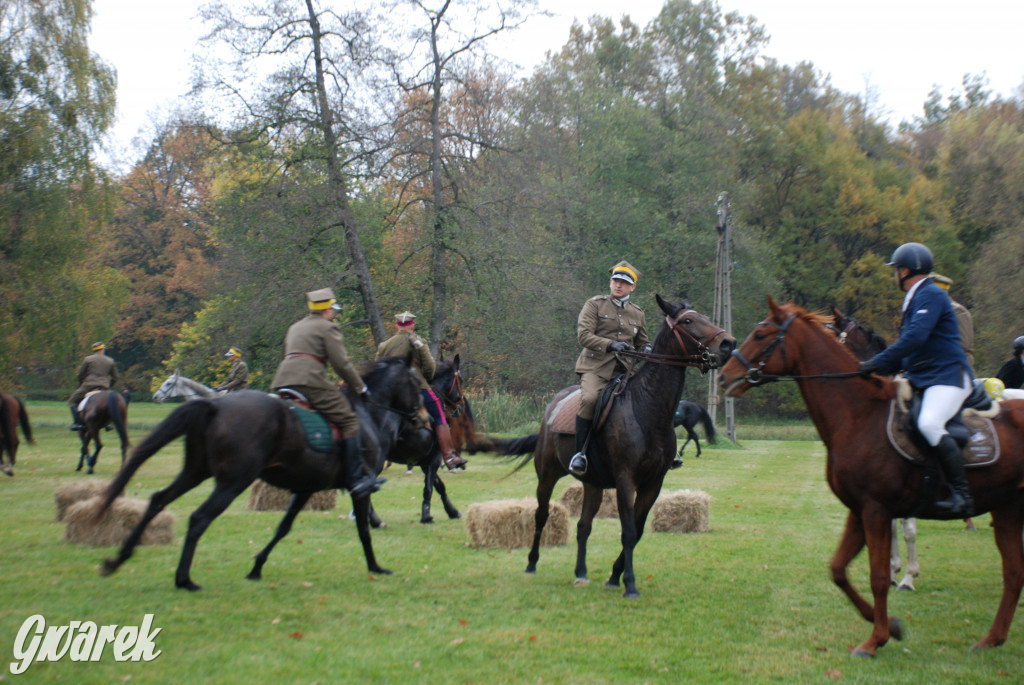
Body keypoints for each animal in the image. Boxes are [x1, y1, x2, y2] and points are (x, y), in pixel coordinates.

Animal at [94, 356, 425, 589]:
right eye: (416, 383)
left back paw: (119, 559)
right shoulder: (355, 487)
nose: (421, 415)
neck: (368, 415)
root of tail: (214, 407)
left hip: (197, 472)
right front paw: (375, 566)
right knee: (199, 517)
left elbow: (283, 528)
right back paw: (183, 579)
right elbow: (363, 530)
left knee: (158, 500)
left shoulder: (305, 489)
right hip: (233, 481)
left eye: (167, 384)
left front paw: (256, 567)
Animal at [499, 296, 733, 593]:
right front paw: (629, 584)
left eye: (705, 316)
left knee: (583, 526)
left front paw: (614, 576)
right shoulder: (625, 480)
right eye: (689, 321)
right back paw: (531, 563)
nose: (728, 343)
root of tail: (554, 404)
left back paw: (581, 572)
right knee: (541, 515)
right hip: (547, 473)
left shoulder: (653, 482)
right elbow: (629, 530)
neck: (646, 408)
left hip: (593, 484)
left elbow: (638, 530)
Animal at [716, 296, 1024, 655]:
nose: (723, 377)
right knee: (1013, 574)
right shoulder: (858, 510)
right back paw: (991, 639)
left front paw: (877, 636)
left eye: (761, 335)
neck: (859, 414)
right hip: (1007, 509)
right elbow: (838, 570)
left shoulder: (876, 509)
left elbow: (878, 575)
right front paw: (889, 624)